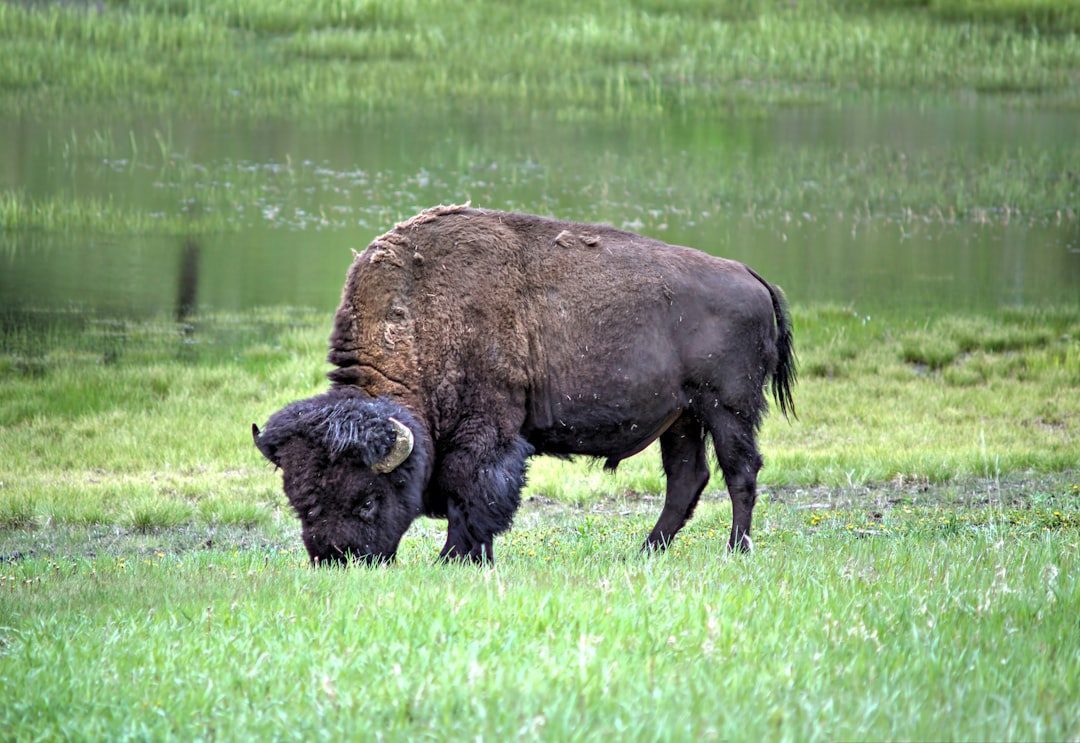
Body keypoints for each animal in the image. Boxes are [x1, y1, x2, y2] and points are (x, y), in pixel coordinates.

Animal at [253, 205, 795, 565]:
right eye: (299, 499)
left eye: (367, 498)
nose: (338, 559)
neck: (417, 317)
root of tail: (752, 277)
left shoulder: (486, 433)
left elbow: (472, 494)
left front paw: (453, 558)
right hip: (681, 418)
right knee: (687, 479)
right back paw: (644, 551)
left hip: (727, 410)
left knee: (740, 473)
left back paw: (734, 551)